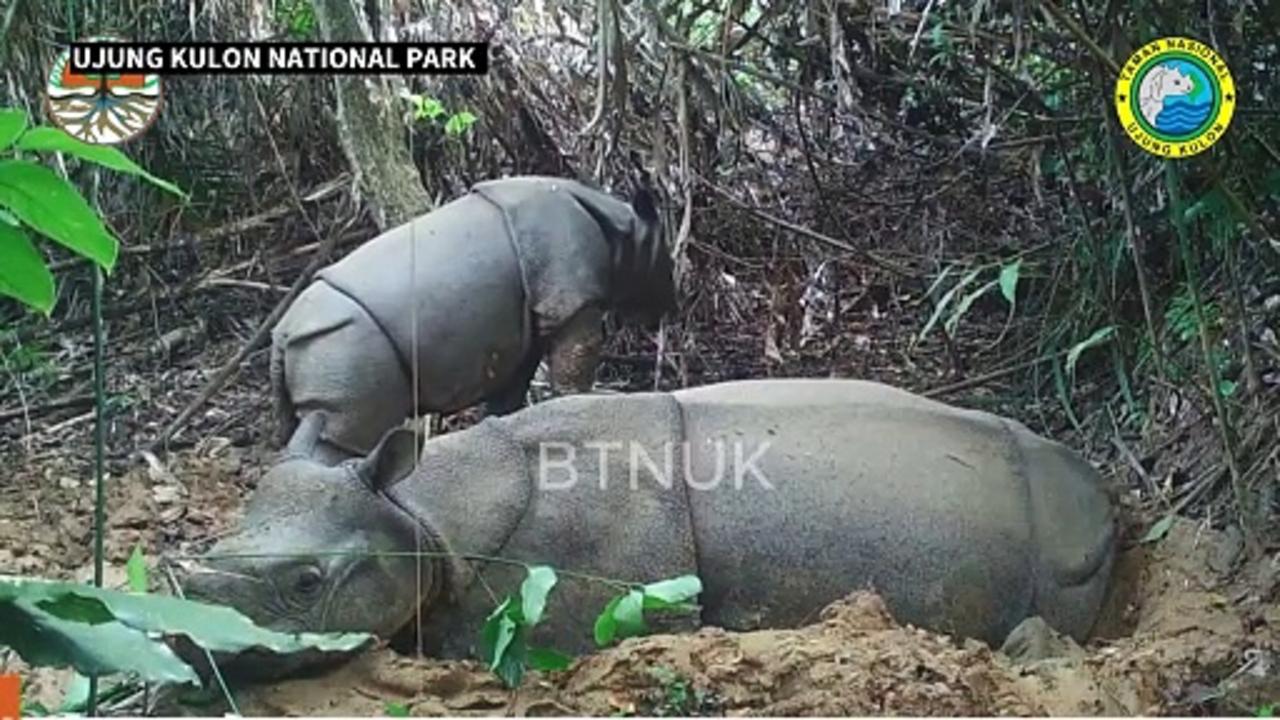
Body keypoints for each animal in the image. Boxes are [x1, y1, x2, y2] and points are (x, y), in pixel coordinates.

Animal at [266, 176, 675, 461]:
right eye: (663, 263)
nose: (668, 307)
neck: (622, 229)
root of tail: (282, 334)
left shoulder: (523, 330)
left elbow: (508, 396)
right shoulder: (573, 300)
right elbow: (573, 374)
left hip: (325, 348)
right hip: (342, 347)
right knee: (343, 440)